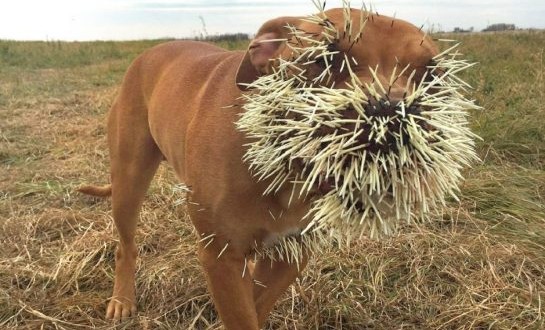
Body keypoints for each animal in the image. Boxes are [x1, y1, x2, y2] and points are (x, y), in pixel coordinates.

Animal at [79, 7, 438, 330]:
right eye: (324, 60)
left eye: (432, 75)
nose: (391, 112)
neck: (285, 169)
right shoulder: (221, 254)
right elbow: (242, 313)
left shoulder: (290, 253)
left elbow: (255, 303)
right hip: (129, 179)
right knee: (126, 246)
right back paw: (122, 301)